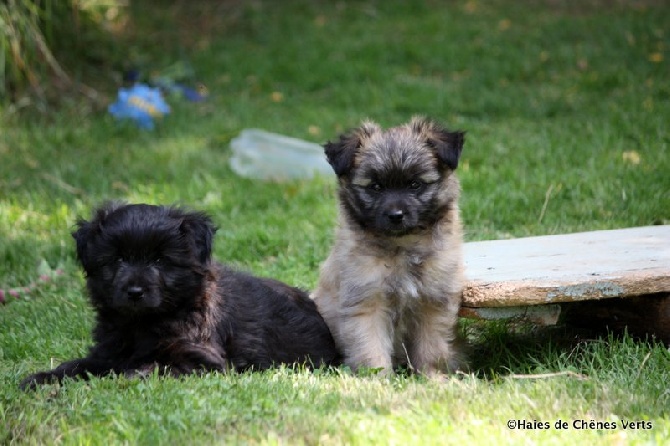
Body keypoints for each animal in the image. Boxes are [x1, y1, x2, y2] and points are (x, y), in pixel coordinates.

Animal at [19, 204, 342, 388]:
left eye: (160, 261)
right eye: (117, 260)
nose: (134, 291)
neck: (145, 323)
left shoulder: (203, 360)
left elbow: (157, 366)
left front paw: (129, 375)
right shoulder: (108, 350)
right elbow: (79, 365)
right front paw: (43, 378)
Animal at [314, 116, 468, 376]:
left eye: (415, 184)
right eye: (375, 187)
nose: (396, 215)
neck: (402, 246)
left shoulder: (433, 302)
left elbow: (431, 348)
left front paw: (433, 377)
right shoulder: (366, 302)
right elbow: (371, 349)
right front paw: (378, 380)